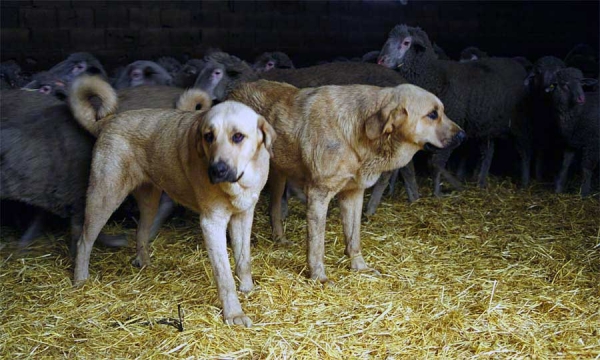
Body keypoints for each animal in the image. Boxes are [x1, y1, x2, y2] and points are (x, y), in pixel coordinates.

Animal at [70, 76, 276, 326]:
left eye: (238, 136)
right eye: (208, 136)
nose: (216, 170)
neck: (241, 180)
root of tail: (108, 120)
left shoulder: (244, 216)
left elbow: (243, 259)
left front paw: (247, 289)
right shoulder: (212, 223)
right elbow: (224, 275)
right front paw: (234, 313)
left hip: (149, 200)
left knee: (141, 231)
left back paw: (144, 264)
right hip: (105, 196)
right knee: (84, 241)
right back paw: (80, 280)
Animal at [227, 80, 466, 282]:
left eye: (442, 112)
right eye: (432, 114)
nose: (463, 136)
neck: (360, 132)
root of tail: (233, 90)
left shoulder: (353, 193)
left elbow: (353, 237)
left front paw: (360, 267)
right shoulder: (318, 195)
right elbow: (316, 245)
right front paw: (319, 277)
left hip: (278, 174)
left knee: (274, 208)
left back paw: (280, 239)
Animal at [378, 23, 532, 195]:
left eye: (406, 42)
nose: (381, 60)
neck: (435, 77)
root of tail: (517, 65)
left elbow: (437, 162)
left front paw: (438, 192)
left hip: (519, 121)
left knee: (525, 150)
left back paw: (524, 182)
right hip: (486, 123)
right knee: (488, 151)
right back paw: (481, 182)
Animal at [548, 67, 596, 197]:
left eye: (581, 83)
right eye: (565, 84)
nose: (581, 98)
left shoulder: (592, 143)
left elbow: (586, 168)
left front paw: (584, 193)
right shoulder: (571, 142)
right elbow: (565, 164)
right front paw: (558, 188)